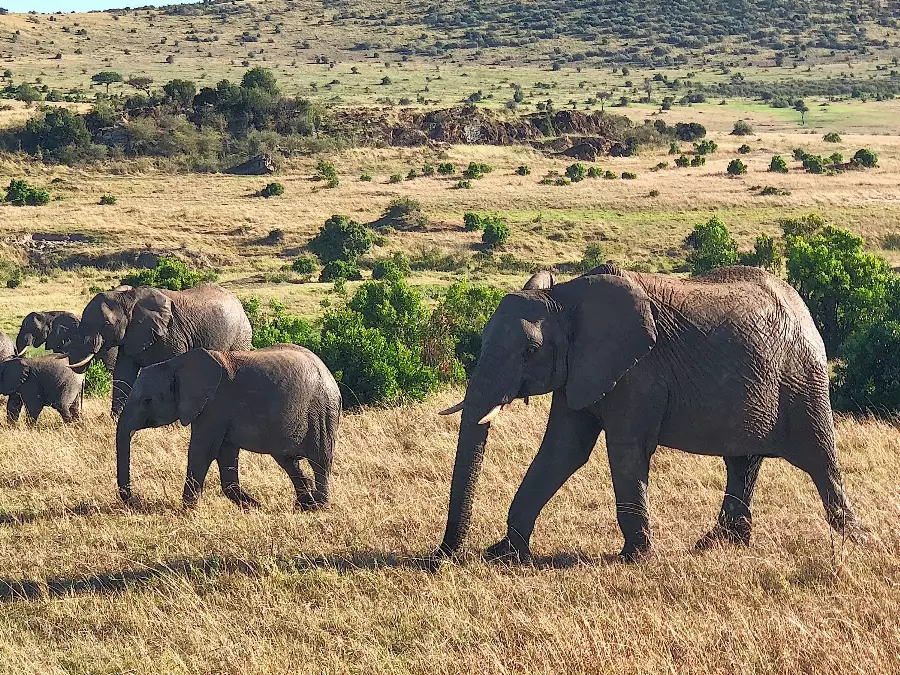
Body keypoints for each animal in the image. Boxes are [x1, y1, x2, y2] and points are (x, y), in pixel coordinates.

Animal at [67, 284, 252, 416]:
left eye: (106, 324)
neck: (128, 297)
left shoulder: (172, 334)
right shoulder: (131, 336)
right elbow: (123, 374)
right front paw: (116, 420)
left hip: (240, 337)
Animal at [115, 345, 341, 510]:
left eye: (147, 400)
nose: (136, 502)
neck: (176, 364)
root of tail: (329, 374)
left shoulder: (215, 405)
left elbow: (202, 451)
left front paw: (186, 512)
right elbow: (226, 455)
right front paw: (254, 507)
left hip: (322, 412)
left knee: (321, 460)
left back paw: (319, 508)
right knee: (288, 461)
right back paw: (304, 505)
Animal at [434, 264, 863, 564]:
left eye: (529, 351)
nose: (442, 558)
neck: (566, 297)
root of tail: (803, 307)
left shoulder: (638, 371)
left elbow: (625, 451)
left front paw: (634, 558)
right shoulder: (581, 370)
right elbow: (563, 450)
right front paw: (505, 554)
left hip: (803, 379)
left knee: (820, 461)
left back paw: (855, 543)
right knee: (743, 463)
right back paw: (719, 545)